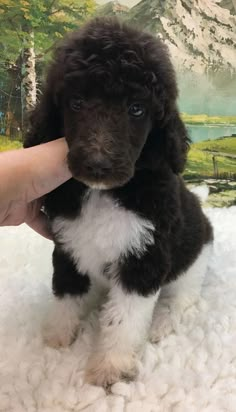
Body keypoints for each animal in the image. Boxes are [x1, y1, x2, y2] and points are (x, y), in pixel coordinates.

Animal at [24, 17, 214, 388]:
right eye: (77, 103)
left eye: (136, 109)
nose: (98, 164)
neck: (102, 193)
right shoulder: (68, 245)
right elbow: (66, 293)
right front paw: (58, 335)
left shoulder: (144, 257)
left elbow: (123, 320)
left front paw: (110, 367)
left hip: (192, 261)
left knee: (182, 299)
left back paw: (162, 324)